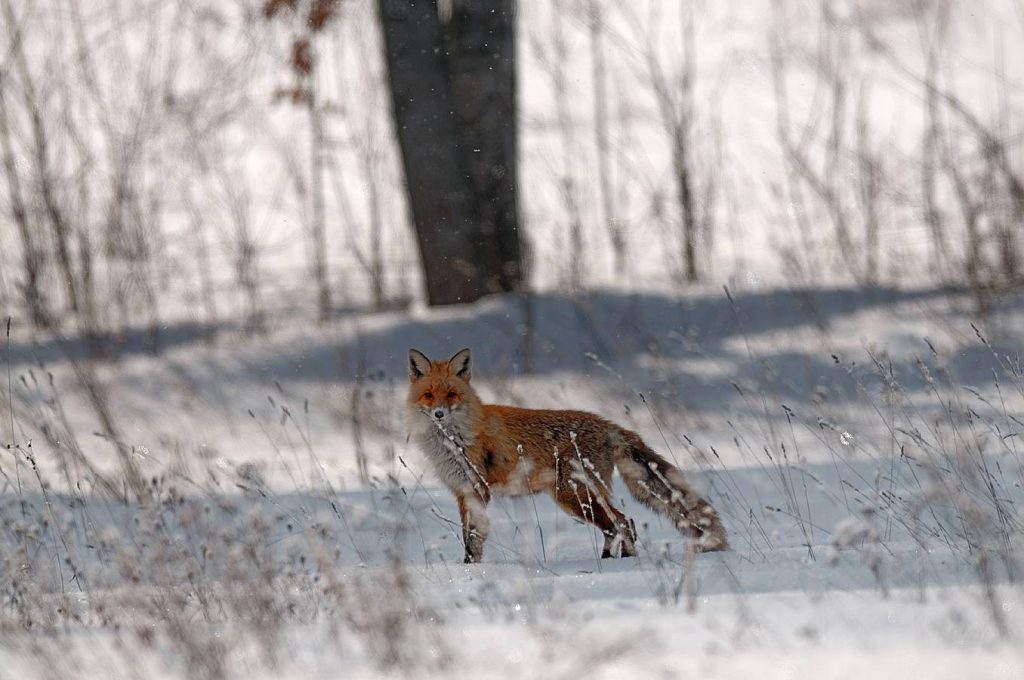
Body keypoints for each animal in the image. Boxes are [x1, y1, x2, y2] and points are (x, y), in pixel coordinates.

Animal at [407, 348, 729, 561]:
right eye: (429, 395)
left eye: (451, 395)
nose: (438, 414)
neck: (454, 439)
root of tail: (609, 425)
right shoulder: (462, 491)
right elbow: (468, 536)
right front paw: (469, 568)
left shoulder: (477, 488)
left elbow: (474, 537)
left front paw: (472, 568)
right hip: (583, 496)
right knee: (621, 523)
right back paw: (615, 559)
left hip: (573, 496)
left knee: (621, 523)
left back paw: (620, 562)